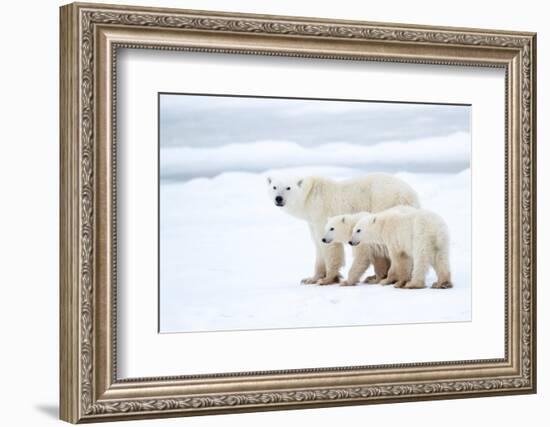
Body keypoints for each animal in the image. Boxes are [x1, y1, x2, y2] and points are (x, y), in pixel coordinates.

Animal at [270, 176, 420, 286]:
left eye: (288, 187)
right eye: (274, 187)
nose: (278, 198)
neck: (310, 196)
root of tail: (411, 194)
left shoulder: (321, 213)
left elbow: (329, 246)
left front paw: (328, 279)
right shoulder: (312, 222)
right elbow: (318, 243)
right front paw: (310, 279)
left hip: (385, 201)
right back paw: (374, 276)